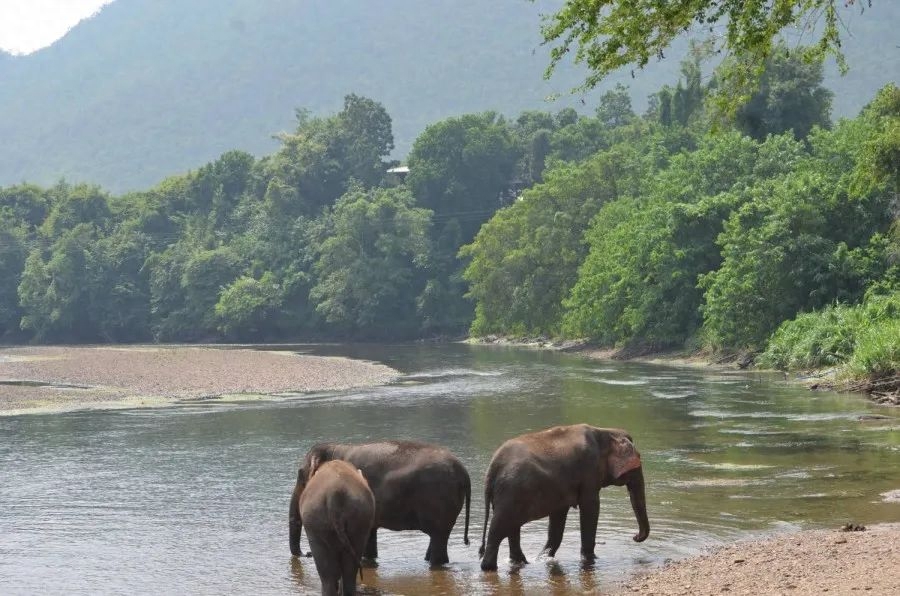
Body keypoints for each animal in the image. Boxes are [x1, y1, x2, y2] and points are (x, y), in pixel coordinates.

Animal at [288, 440, 472, 564]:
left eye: (301, 475)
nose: (307, 554)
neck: (334, 447)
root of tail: (464, 472)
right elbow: (370, 534)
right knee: (438, 538)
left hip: (440, 500)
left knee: (439, 539)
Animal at [478, 422, 648, 572]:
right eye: (638, 461)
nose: (635, 537)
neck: (606, 431)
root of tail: (492, 467)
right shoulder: (589, 471)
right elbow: (590, 507)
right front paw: (591, 559)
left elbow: (558, 515)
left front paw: (544, 558)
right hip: (510, 493)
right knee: (499, 528)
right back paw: (490, 567)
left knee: (511, 527)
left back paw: (522, 562)